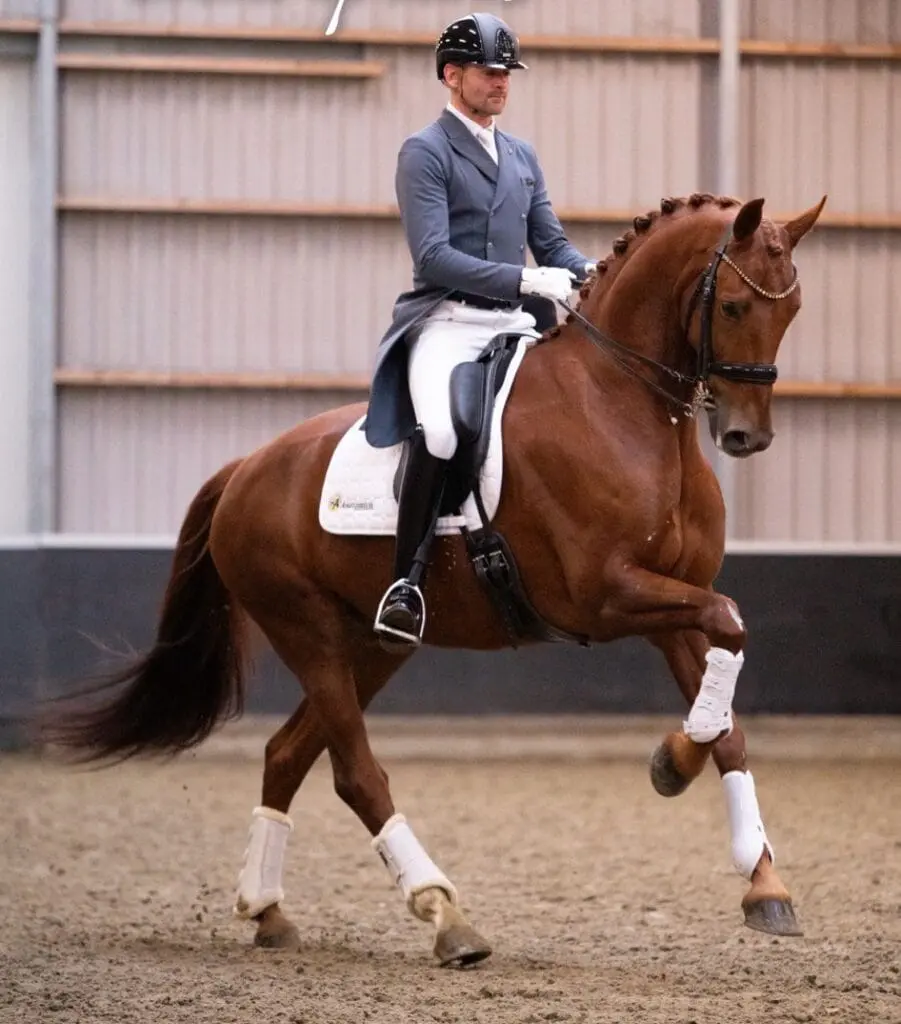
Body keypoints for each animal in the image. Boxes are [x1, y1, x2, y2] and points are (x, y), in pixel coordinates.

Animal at [42, 191, 826, 968]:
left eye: (792, 310)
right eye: (733, 306)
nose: (746, 437)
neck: (622, 404)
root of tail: (246, 468)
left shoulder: (669, 599)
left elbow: (726, 710)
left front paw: (757, 875)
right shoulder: (604, 596)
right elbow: (728, 622)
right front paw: (672, 765)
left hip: (371, 645)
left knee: (287, 754)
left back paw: (268, 911)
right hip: (306, 630)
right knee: (355, 773)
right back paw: (446, 916)